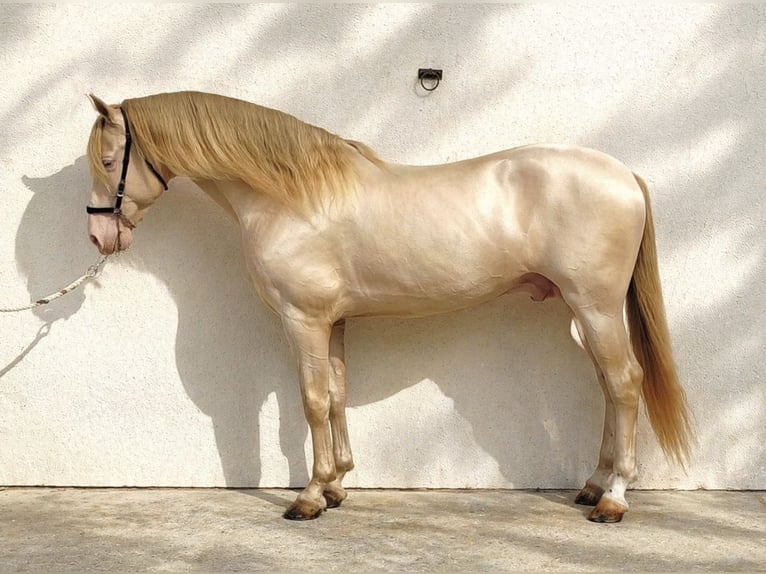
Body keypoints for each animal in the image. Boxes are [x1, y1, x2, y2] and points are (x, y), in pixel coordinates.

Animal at [84, 91, 692, 523]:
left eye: (110, 159)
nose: (99, 236)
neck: (292, 195)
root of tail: (623, 174)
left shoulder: (303, 320)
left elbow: (311, 402)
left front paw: (309, 496)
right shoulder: (332, 322)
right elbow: (335, 395)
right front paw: (336, 485)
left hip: (597, 308)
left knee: (625, 385)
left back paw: (614, 500)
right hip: (587, 315)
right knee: (610, 390)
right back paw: (592, 485)